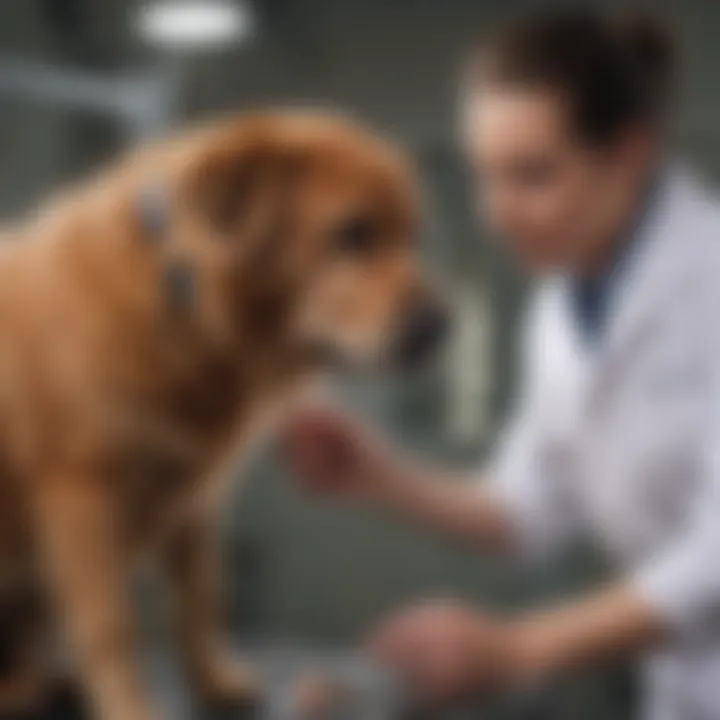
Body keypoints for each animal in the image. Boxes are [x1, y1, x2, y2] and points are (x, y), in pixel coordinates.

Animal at [0, 109, 448, 716]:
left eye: (411, 235)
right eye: (353, 234)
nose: (441, 327)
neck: (179, 293)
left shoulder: (192, 498)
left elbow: (200, 599)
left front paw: (214, 682)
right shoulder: (80, 494)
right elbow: (112, 624)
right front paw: (128, 706)